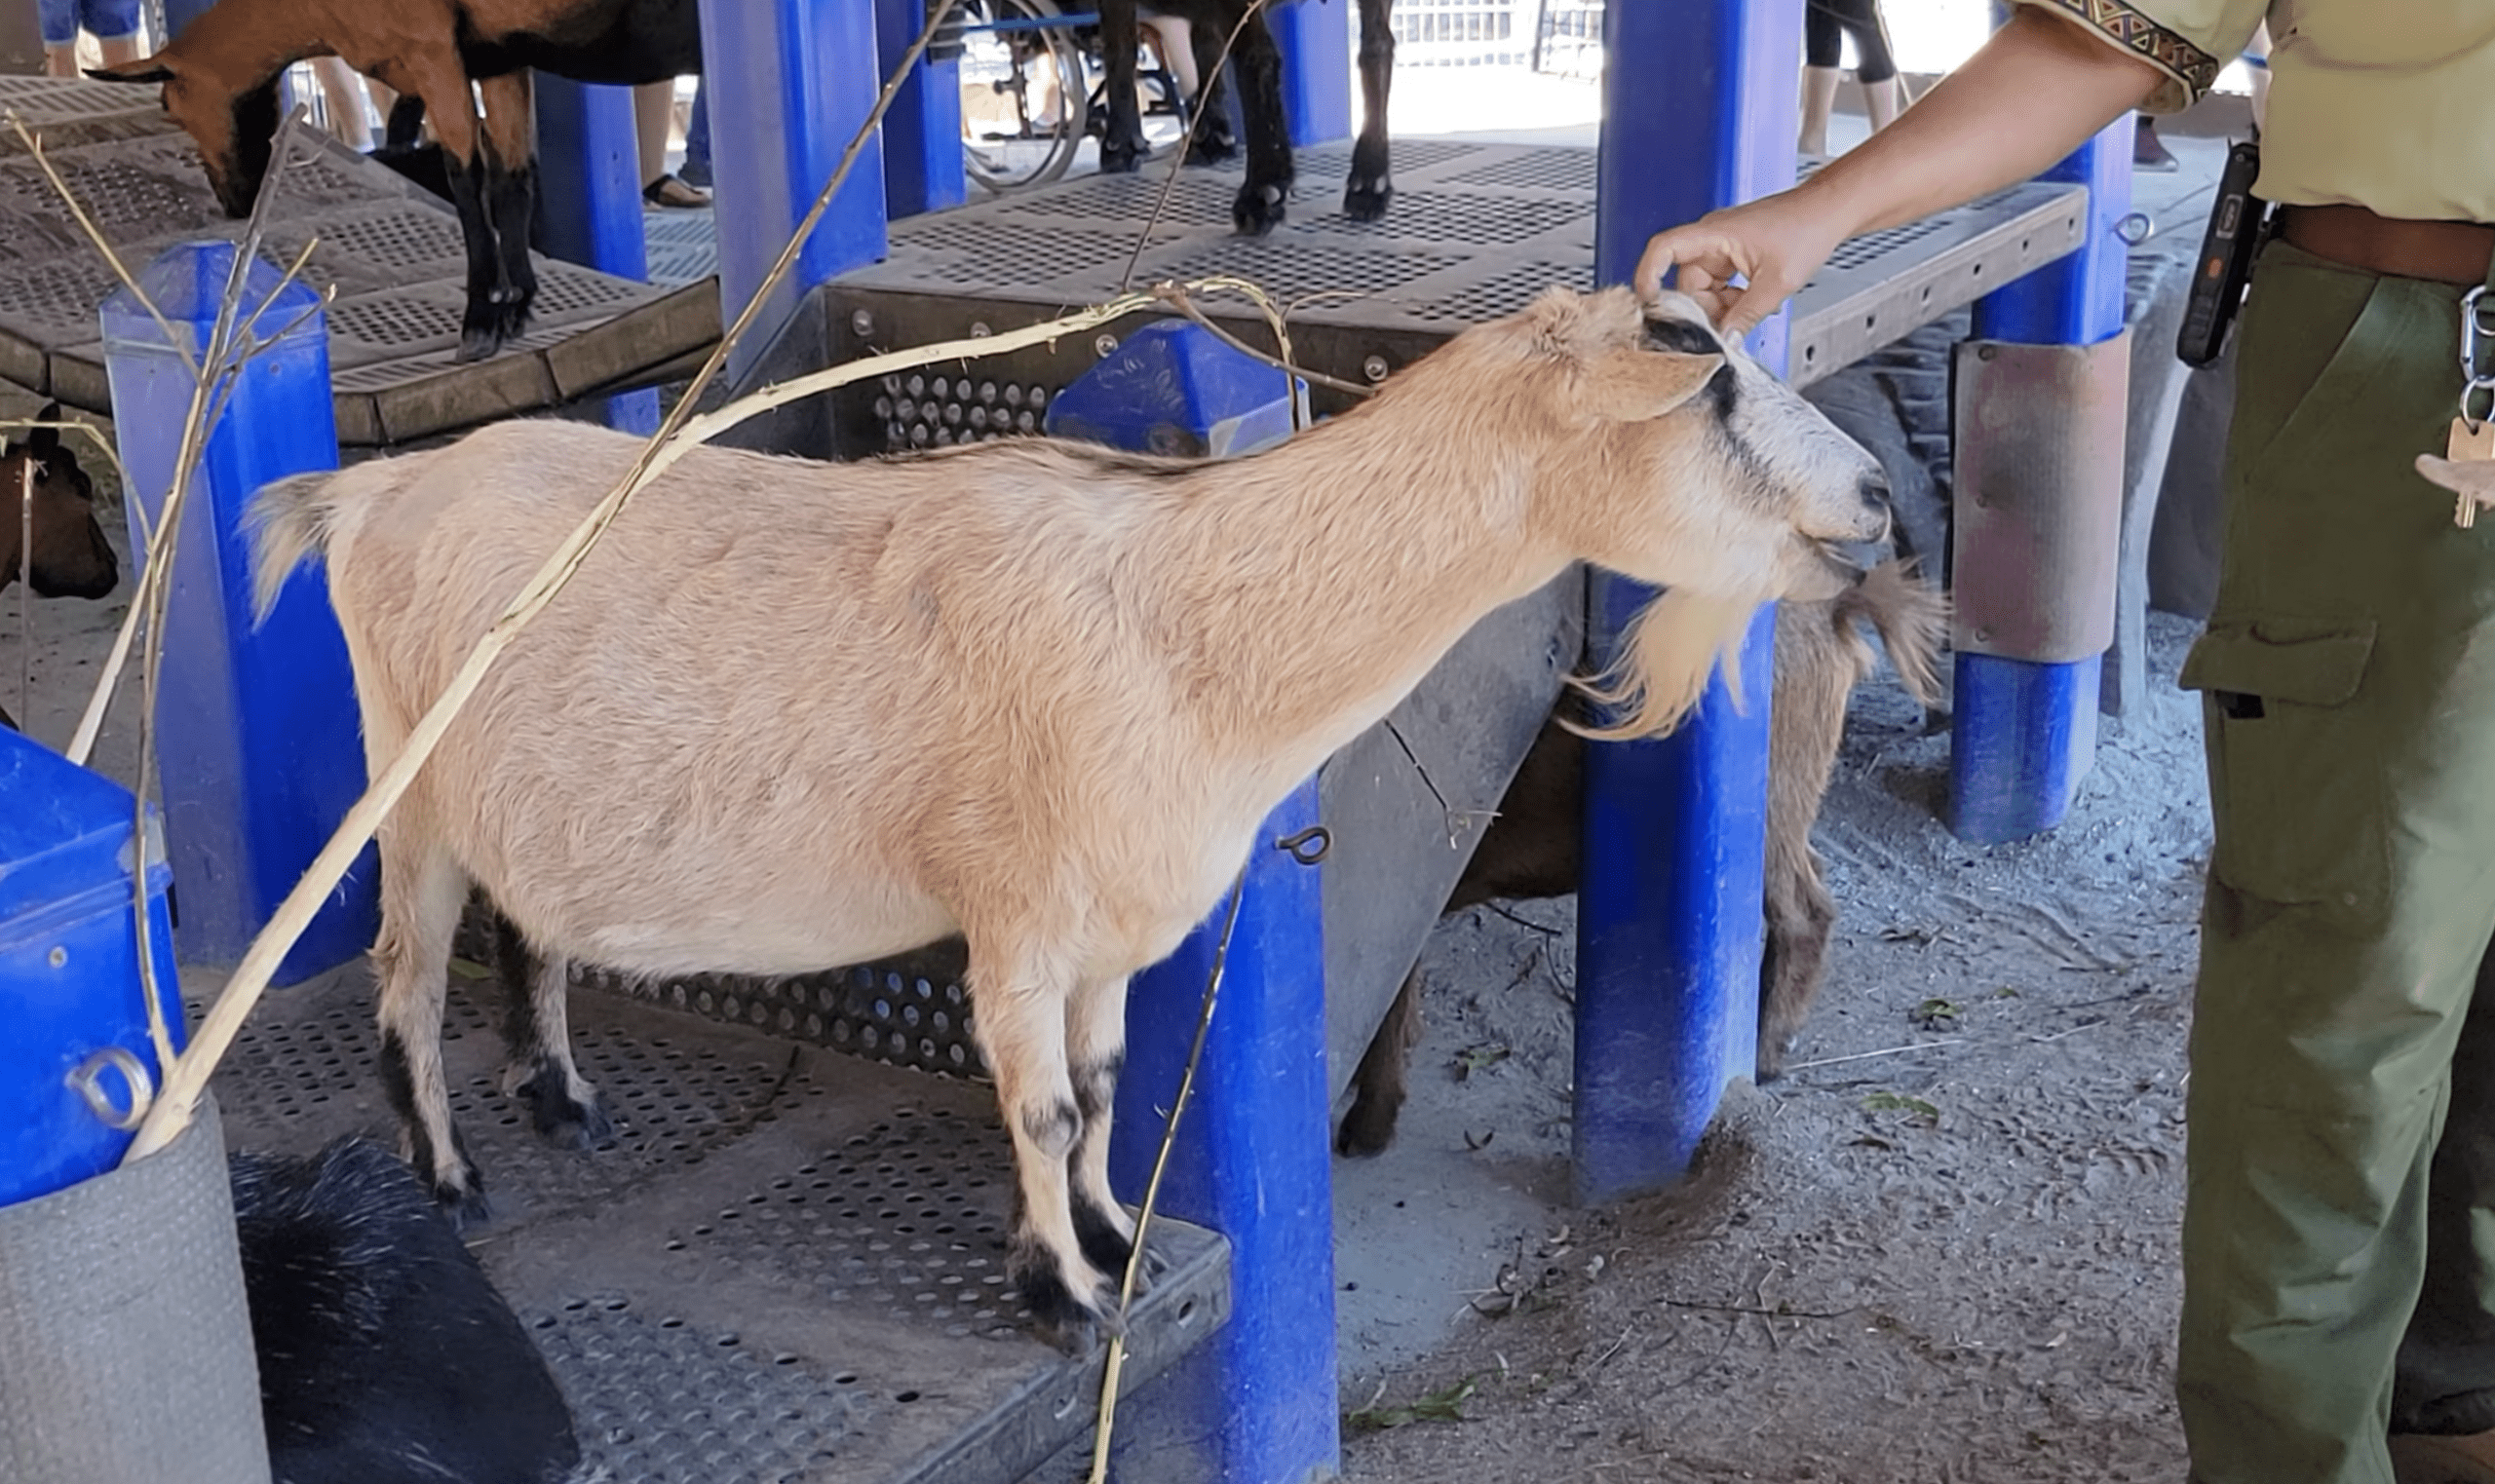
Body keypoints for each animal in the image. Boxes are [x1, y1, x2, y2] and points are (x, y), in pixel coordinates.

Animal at [89, 1, 702, 363]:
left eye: (168, 105)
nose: (234, 201)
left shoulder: (431, 52)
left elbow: (466, 183)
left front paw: (480, 323)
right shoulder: (498, 59)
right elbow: (511, 180)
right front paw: (517, 307)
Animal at [1334, 559, 1948, 1158]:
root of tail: (1837, 607)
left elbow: (1384, 1004)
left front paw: (1364, 1133)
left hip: (1773, 793)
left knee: (1806, 911)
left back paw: (1764, 1055)